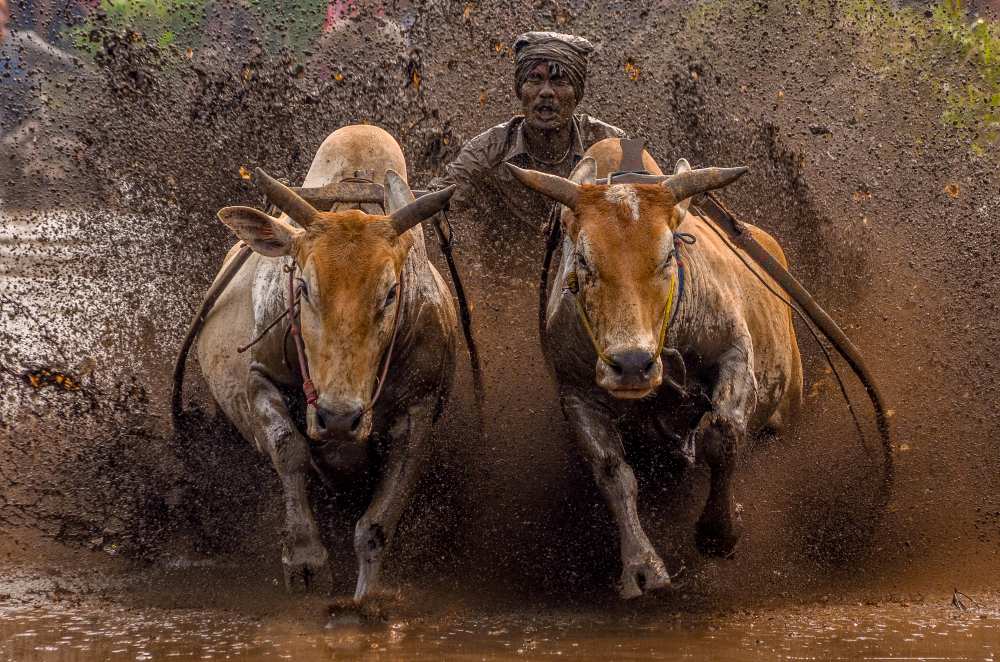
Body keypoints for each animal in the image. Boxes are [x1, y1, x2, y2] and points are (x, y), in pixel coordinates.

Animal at [191, 125, 458, 606]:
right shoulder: (259, 378)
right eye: (304, 287)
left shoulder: (421, 408)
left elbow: (377, 522)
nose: (338, 417)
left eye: (391, 293)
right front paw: (305, 561)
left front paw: (365, 598)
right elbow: (290, 450)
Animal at [507, 138, 803, 599]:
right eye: (584, 260)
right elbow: (614, 472)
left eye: (667, 256)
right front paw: (642, 567)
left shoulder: (734, 353)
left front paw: (718, 533)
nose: (632, 364)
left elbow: (722, 434)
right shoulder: (577, 393)